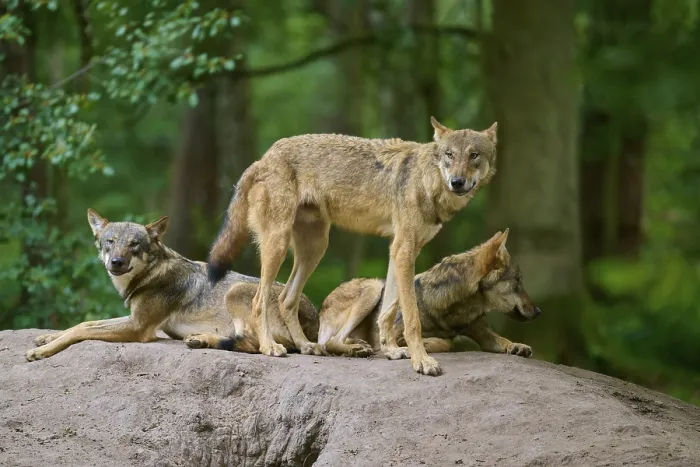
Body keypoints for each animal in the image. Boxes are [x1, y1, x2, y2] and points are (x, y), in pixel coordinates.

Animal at [25, 209, 318, 362]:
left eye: (134, 244)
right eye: (110, 242)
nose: (117, 262)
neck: (151, 273)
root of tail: (315, 326)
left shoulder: (138, 326)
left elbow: (82, 329)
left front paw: (41, 351)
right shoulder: (134, 317)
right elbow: (83, 323)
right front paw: (46, 337)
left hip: (237, 293)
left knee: (255, 344)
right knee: (243, 342)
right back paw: (200, 340)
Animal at [207, 117, 498, 375]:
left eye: (473, 155)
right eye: (449, 155)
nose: (457, 182)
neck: (427, 181)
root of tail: (263, 158)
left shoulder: (402, 251)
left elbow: (388, 311)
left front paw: (391, 351)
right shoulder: (403, 250)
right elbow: (411, 318)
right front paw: (422, 362)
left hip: (315, 249)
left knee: (285, 299)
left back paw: (305, 346)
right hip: (278, 245)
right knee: (260, 300)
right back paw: (270, 346)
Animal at [317, 229, 540, 359]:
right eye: (518, 282)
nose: (538, 311)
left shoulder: (483, 333)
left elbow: (503, 340)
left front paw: (517, 345)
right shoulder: (396, 334)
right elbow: (443, 342)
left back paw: (359, 345)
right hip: (373, 288)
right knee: (330, 341)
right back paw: (357, 348)